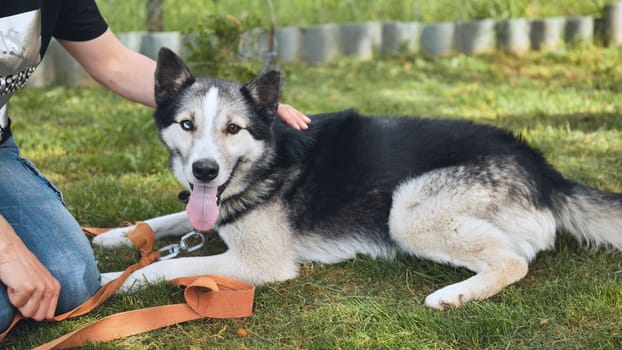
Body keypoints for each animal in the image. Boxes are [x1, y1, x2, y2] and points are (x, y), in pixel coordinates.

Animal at [92, 47, 622, 308]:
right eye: (187, 125)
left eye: (233, 129)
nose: (204, 170)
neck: (269, 161)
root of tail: (545, 170)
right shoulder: (203, 209)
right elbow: (171, 218)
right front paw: (122, 235)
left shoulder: (256, 265)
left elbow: (165, 268)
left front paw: (107, 281)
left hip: (407, 212)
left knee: (514, 262)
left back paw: (454, 295)